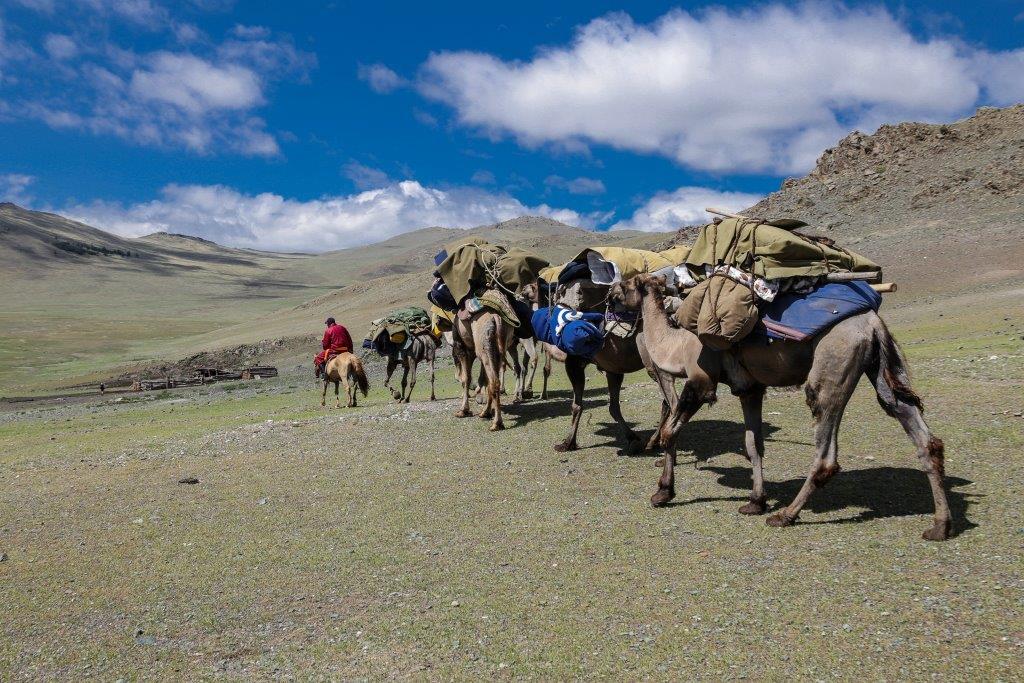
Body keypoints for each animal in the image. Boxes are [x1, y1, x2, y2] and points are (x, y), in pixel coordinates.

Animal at [606, 274, 950, 540]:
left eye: (626, 284)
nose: (609, 293)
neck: (674, 346)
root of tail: (871, 322)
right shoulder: (750, 389)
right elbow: (753, 445)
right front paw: (755, 501)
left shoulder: (701, 382)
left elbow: (670, 433)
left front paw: (663, 492)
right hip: (881, 365)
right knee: (918, 430)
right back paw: (940, 526)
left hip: (832, 366)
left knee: (825, 450)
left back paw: (787, 515)